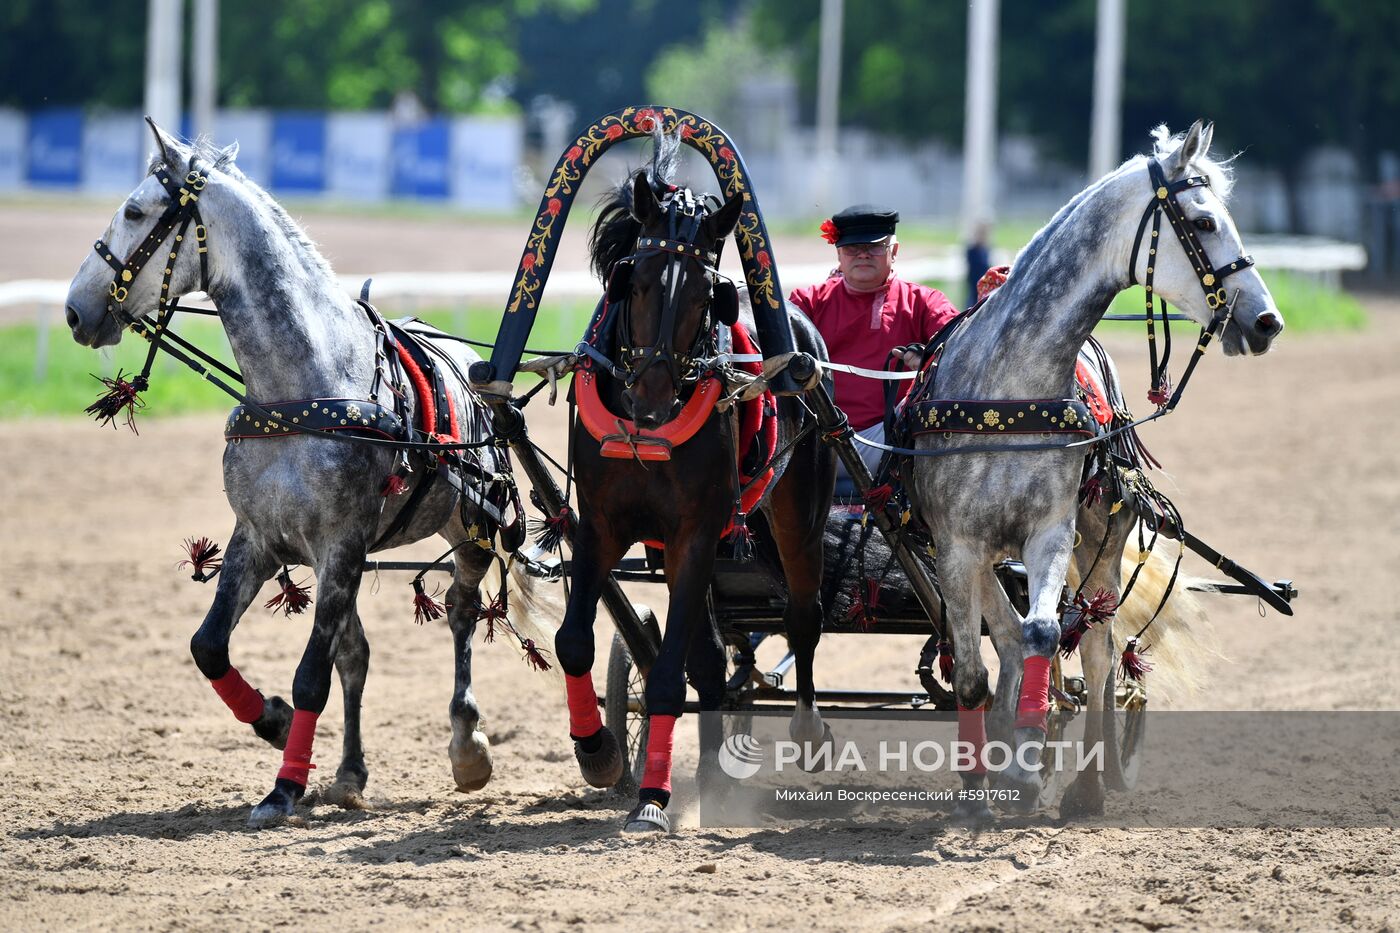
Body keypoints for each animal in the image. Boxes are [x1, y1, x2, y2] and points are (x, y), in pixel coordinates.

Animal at [551, 136, 828, 829]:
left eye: (709, 295)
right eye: (638, 280)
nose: (652, 399)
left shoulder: (695, 533)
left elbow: (669, 674)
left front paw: (651, 799)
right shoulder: (601, 524)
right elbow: (574, 643)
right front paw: (598, 750)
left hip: (796, 515)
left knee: (803, 616)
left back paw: (808, 732)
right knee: (709, 659)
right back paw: (710, 773)